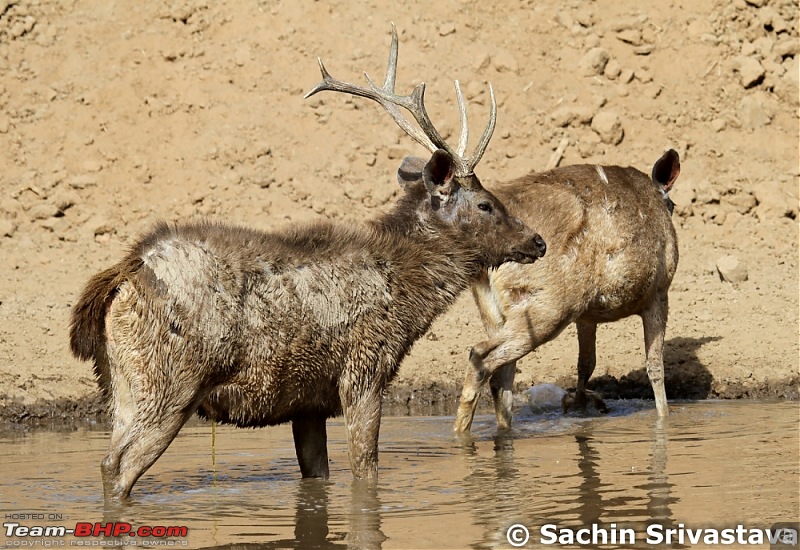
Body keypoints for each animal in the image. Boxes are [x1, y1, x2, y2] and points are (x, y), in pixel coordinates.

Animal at [69, 25, 548, 502]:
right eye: (486, 204)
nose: (537, 241)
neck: (407, 295)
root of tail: (126, 270)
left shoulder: (308, 403)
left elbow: (319, 477)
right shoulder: (363, 371)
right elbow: (366, 474)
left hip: (120, 387)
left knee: (108, 461)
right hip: (169, 383)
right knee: (120, 467)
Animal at [454, 149, 680, 434]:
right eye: (673, 206)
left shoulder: (587, 315)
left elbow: (586, 363)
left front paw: (579, 404)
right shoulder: (659, 292)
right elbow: (655, 367)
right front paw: (664, 418)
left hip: (496, 310)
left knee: (501, 377)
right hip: (550, 305)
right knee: (480, 355)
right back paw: (461, 431)